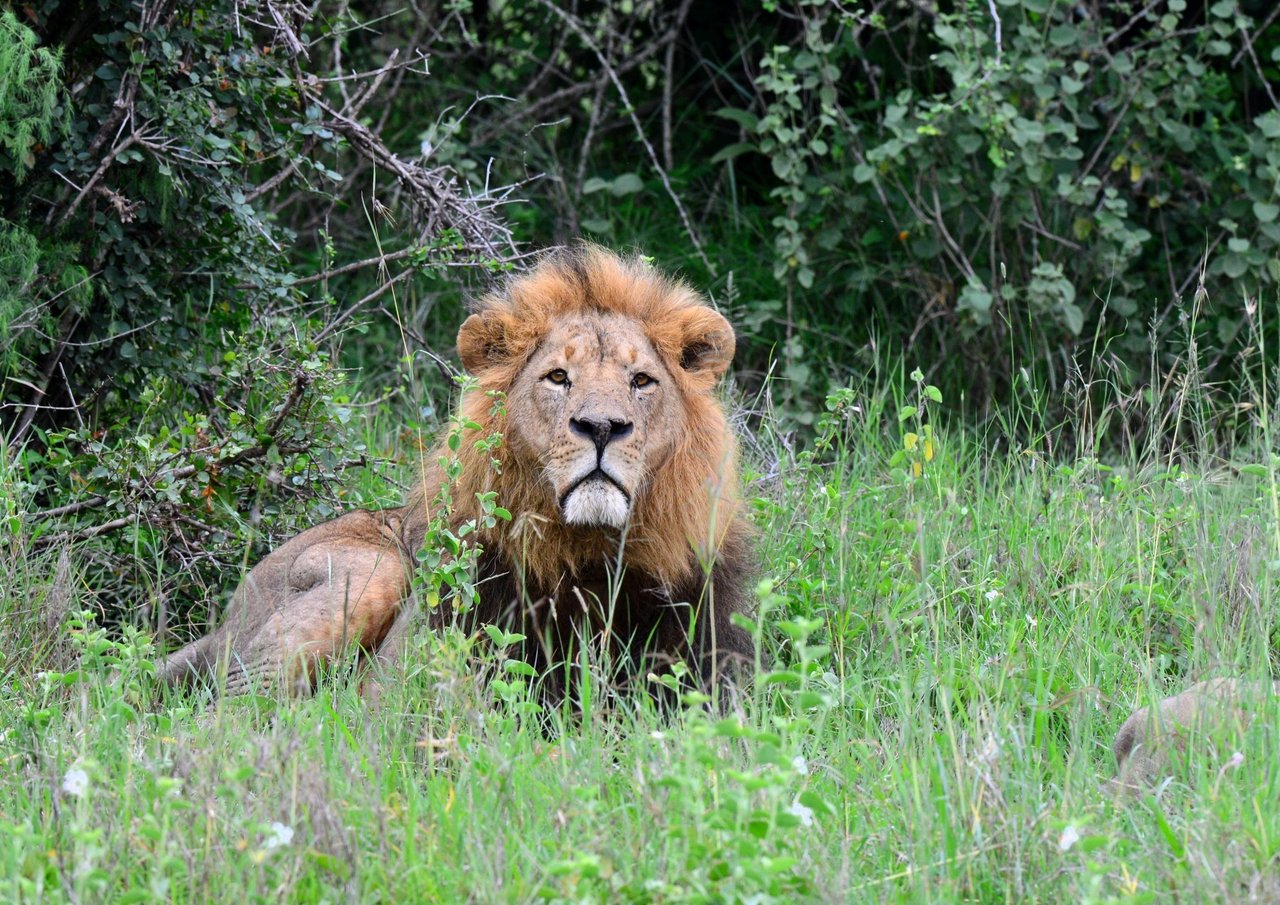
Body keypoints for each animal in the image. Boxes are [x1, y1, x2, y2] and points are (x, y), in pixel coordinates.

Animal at [160, 245, 757, 701]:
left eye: (641, 381)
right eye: (558, 377)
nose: (602, 428)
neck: (588, 557)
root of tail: (222, 623)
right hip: (370, 570)